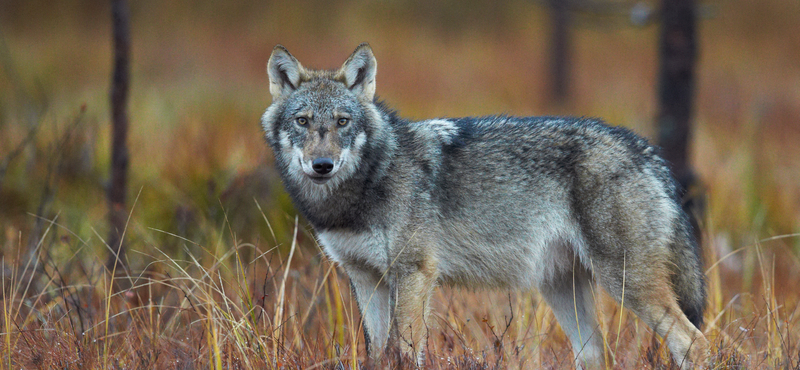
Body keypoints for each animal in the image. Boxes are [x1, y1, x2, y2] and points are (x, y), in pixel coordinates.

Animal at [260, 42, 708, 368]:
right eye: (302, 121)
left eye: (342, 121)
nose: (322, 165)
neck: (370, 180)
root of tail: (644, 149)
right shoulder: (365, 279)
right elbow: (377, 354)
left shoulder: (414, 274)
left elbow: (404, 353)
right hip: (564, 290)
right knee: (598, 354)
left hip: (625, 283)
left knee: (694, 343)